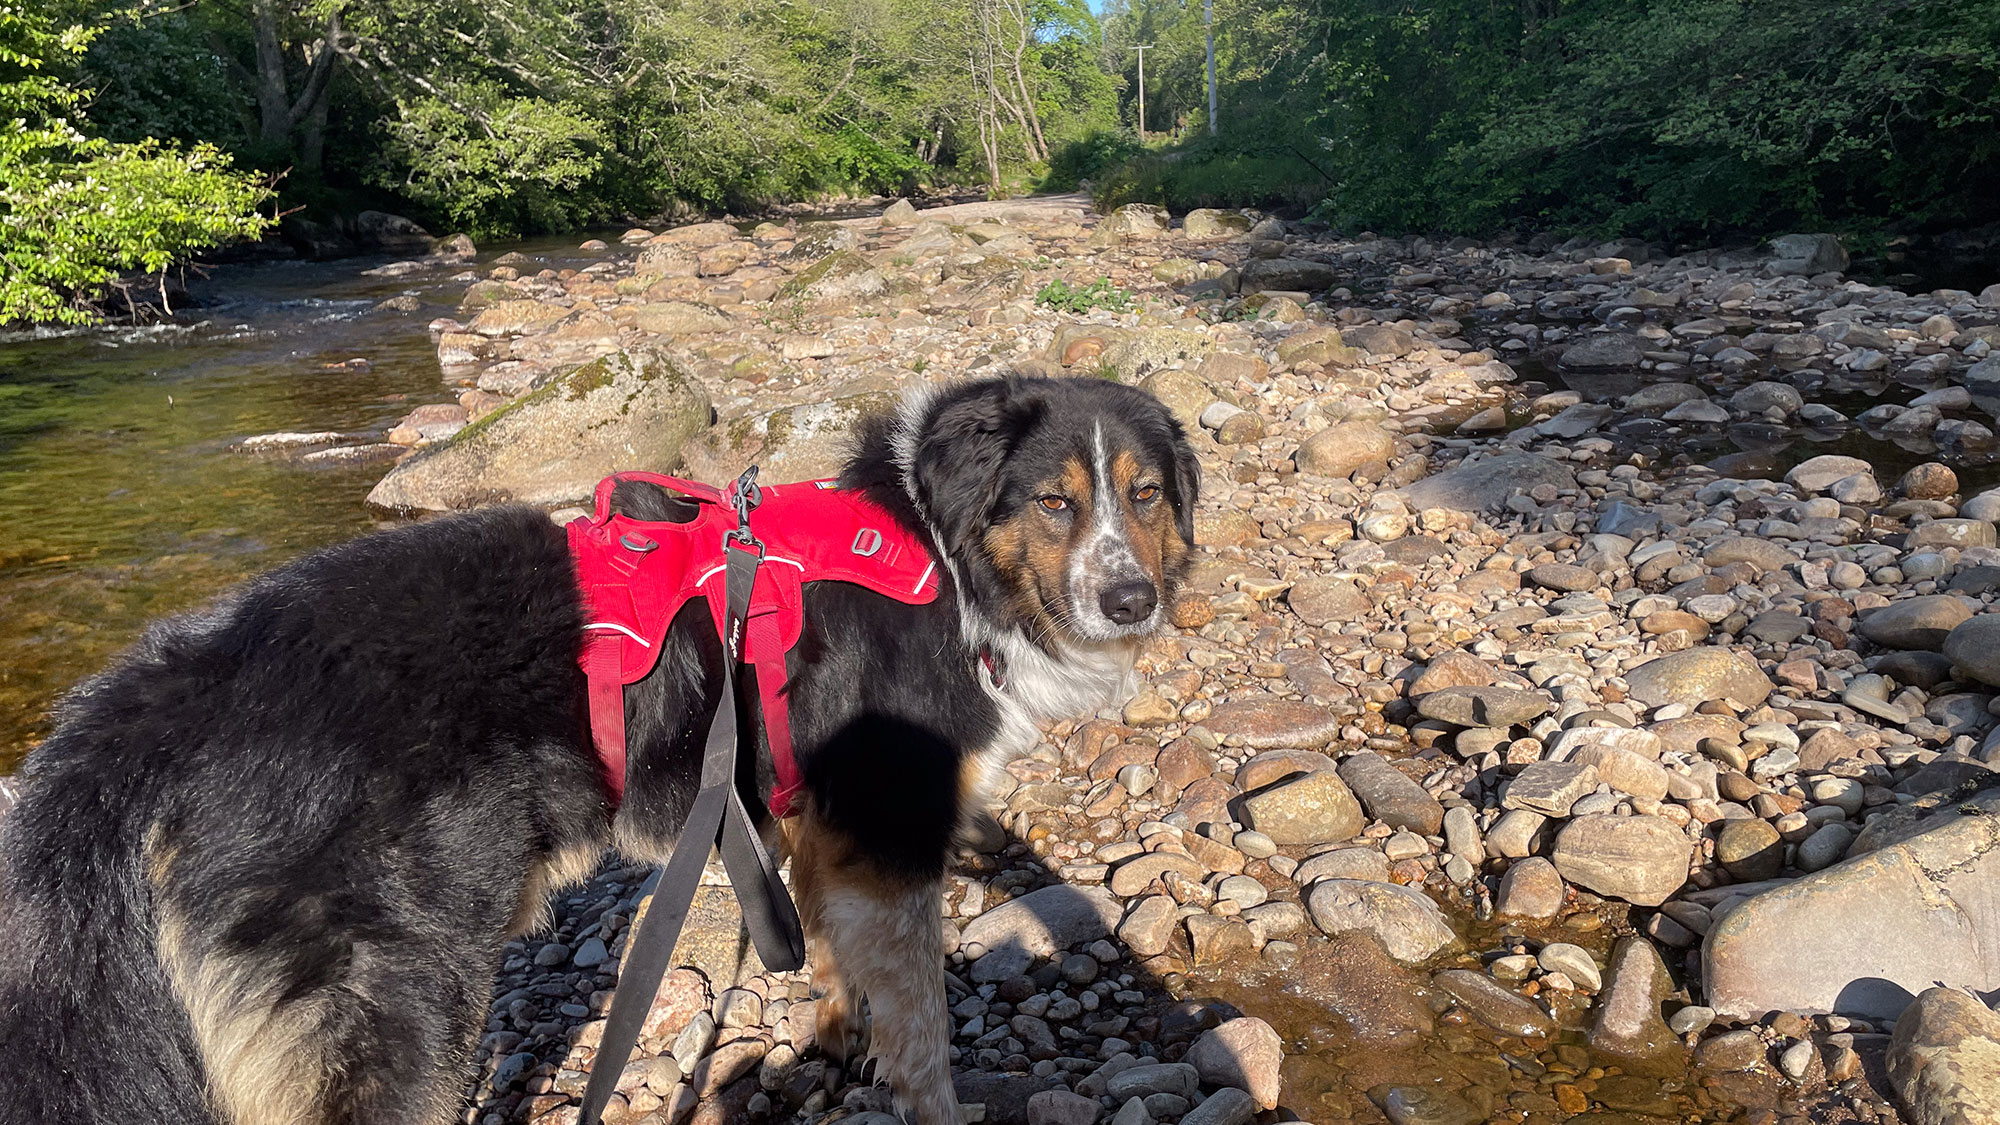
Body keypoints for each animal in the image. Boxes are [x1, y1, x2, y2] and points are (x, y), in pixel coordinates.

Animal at [0, 373, 1198, 1125]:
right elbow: (925, 1031)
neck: (937, 552)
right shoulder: (893, 830)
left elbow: (840, 962)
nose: (1131, 601)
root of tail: (165, 687)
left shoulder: (819, 825)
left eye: (1144, 496)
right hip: (404, 1003)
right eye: (1054, 503)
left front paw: (833, 1036)